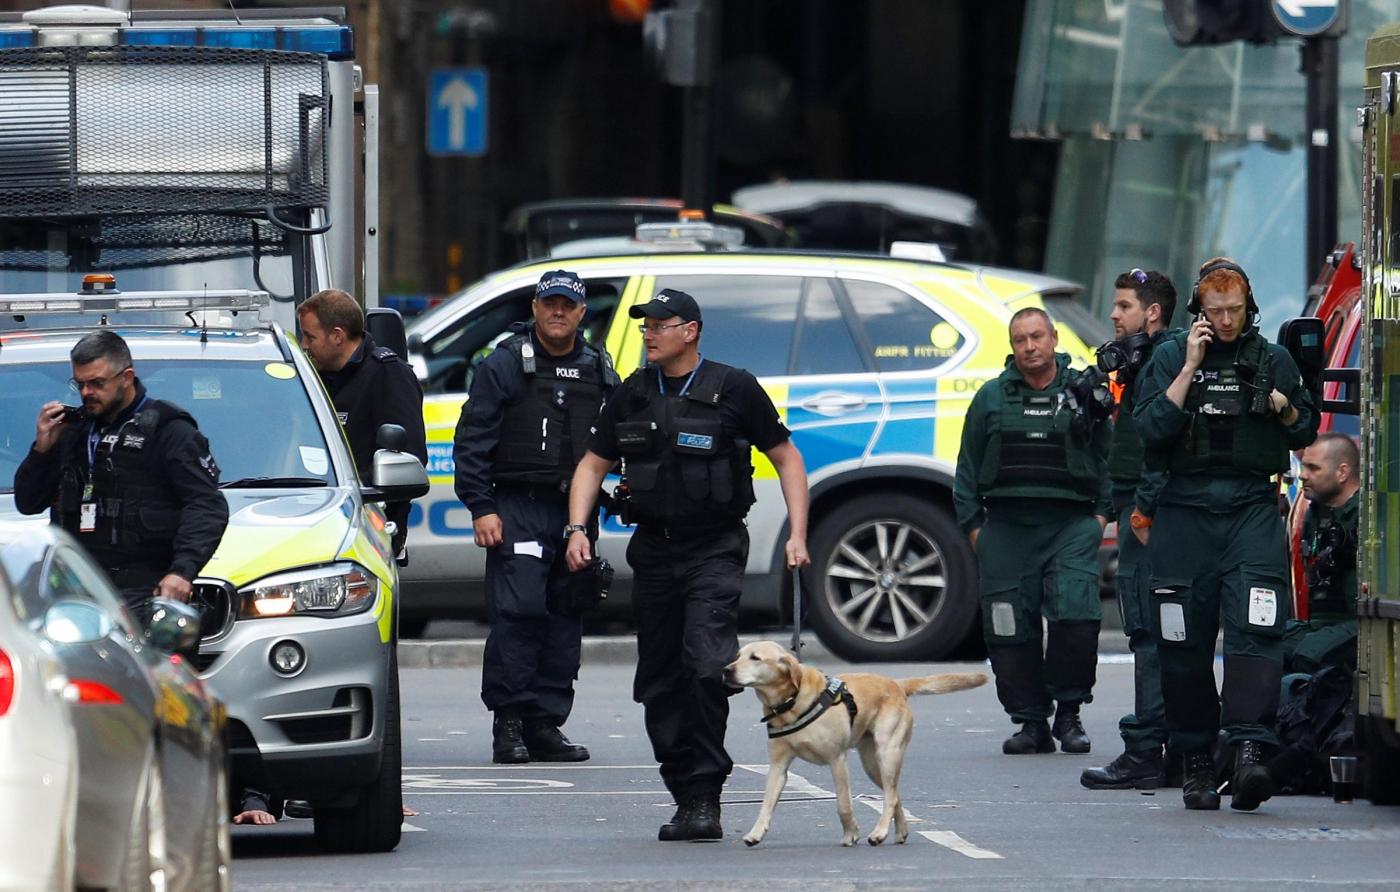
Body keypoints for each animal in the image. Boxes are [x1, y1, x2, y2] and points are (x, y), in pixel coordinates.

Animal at [728, 635, 991, 845]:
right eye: (738, 655)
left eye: (755, 658)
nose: (726, 670)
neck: (791, 703)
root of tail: (896, 684)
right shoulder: (778, 766)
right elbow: (766, 804)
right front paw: (756, 833)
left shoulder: (837, 760)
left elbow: (844, 804)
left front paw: (850, 834)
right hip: (872, 764)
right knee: (894, 793)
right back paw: (900, 831)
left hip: (887, 753)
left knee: (890, 795)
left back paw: (880, 833)